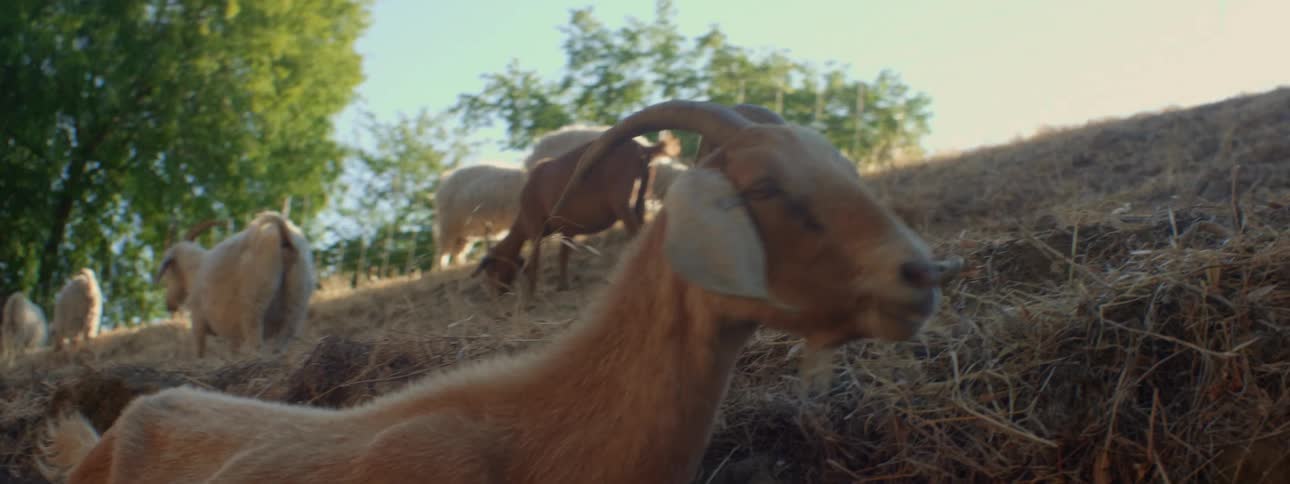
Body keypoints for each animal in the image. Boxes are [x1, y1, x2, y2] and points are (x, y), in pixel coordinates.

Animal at [474, 130, 680, 295]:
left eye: (491, 268)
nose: (496, 293)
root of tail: (642, 149)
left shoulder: (535, 228)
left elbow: (535, 261)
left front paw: (530, 296)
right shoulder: (568, 229)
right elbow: (563, 255)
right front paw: (562, 286)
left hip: (623, 203)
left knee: (635, 232)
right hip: (641, 198)